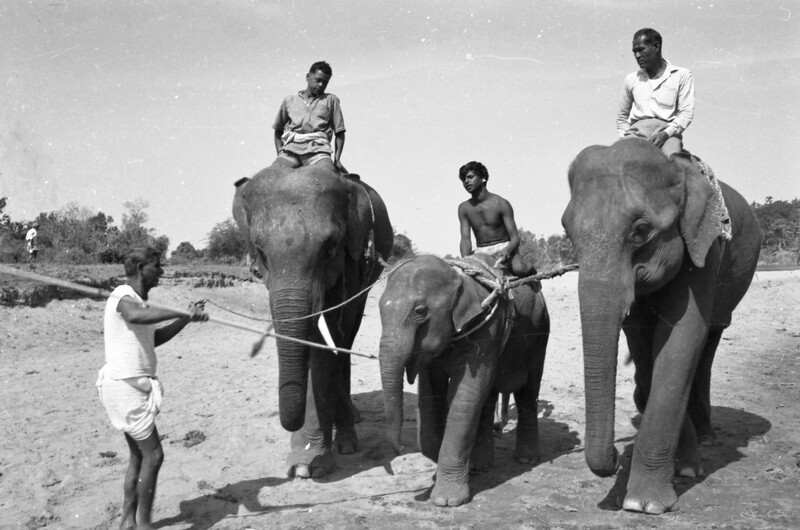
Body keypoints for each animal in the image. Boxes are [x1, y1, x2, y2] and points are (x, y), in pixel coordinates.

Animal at [232, 164, 392, 478]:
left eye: (330, 247)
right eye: (260, 251)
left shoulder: (352, 257)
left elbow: (324, 342)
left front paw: (308, 466)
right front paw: (301, 463)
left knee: (347, 336)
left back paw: (347, 438)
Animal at [379, 254, 549, 507]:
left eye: (420, 311)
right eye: (380, 309)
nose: (400, 448)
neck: (458, 279)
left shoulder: (487, 328)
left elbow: (465, 397)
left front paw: (446, 500)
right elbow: (430, 396)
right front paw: (437, 468)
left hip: (539, 334)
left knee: (527, 392)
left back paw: (526, 460)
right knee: (488, 398)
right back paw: (479, 466)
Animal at [560, 138, 761, 514]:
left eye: (640, 231)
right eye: (568, 232)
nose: (614, 455)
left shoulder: (706, 249)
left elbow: (681, 340)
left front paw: (645, 504)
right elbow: (644, 347)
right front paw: (679, 472)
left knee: (709, 342)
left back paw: (708, 438)